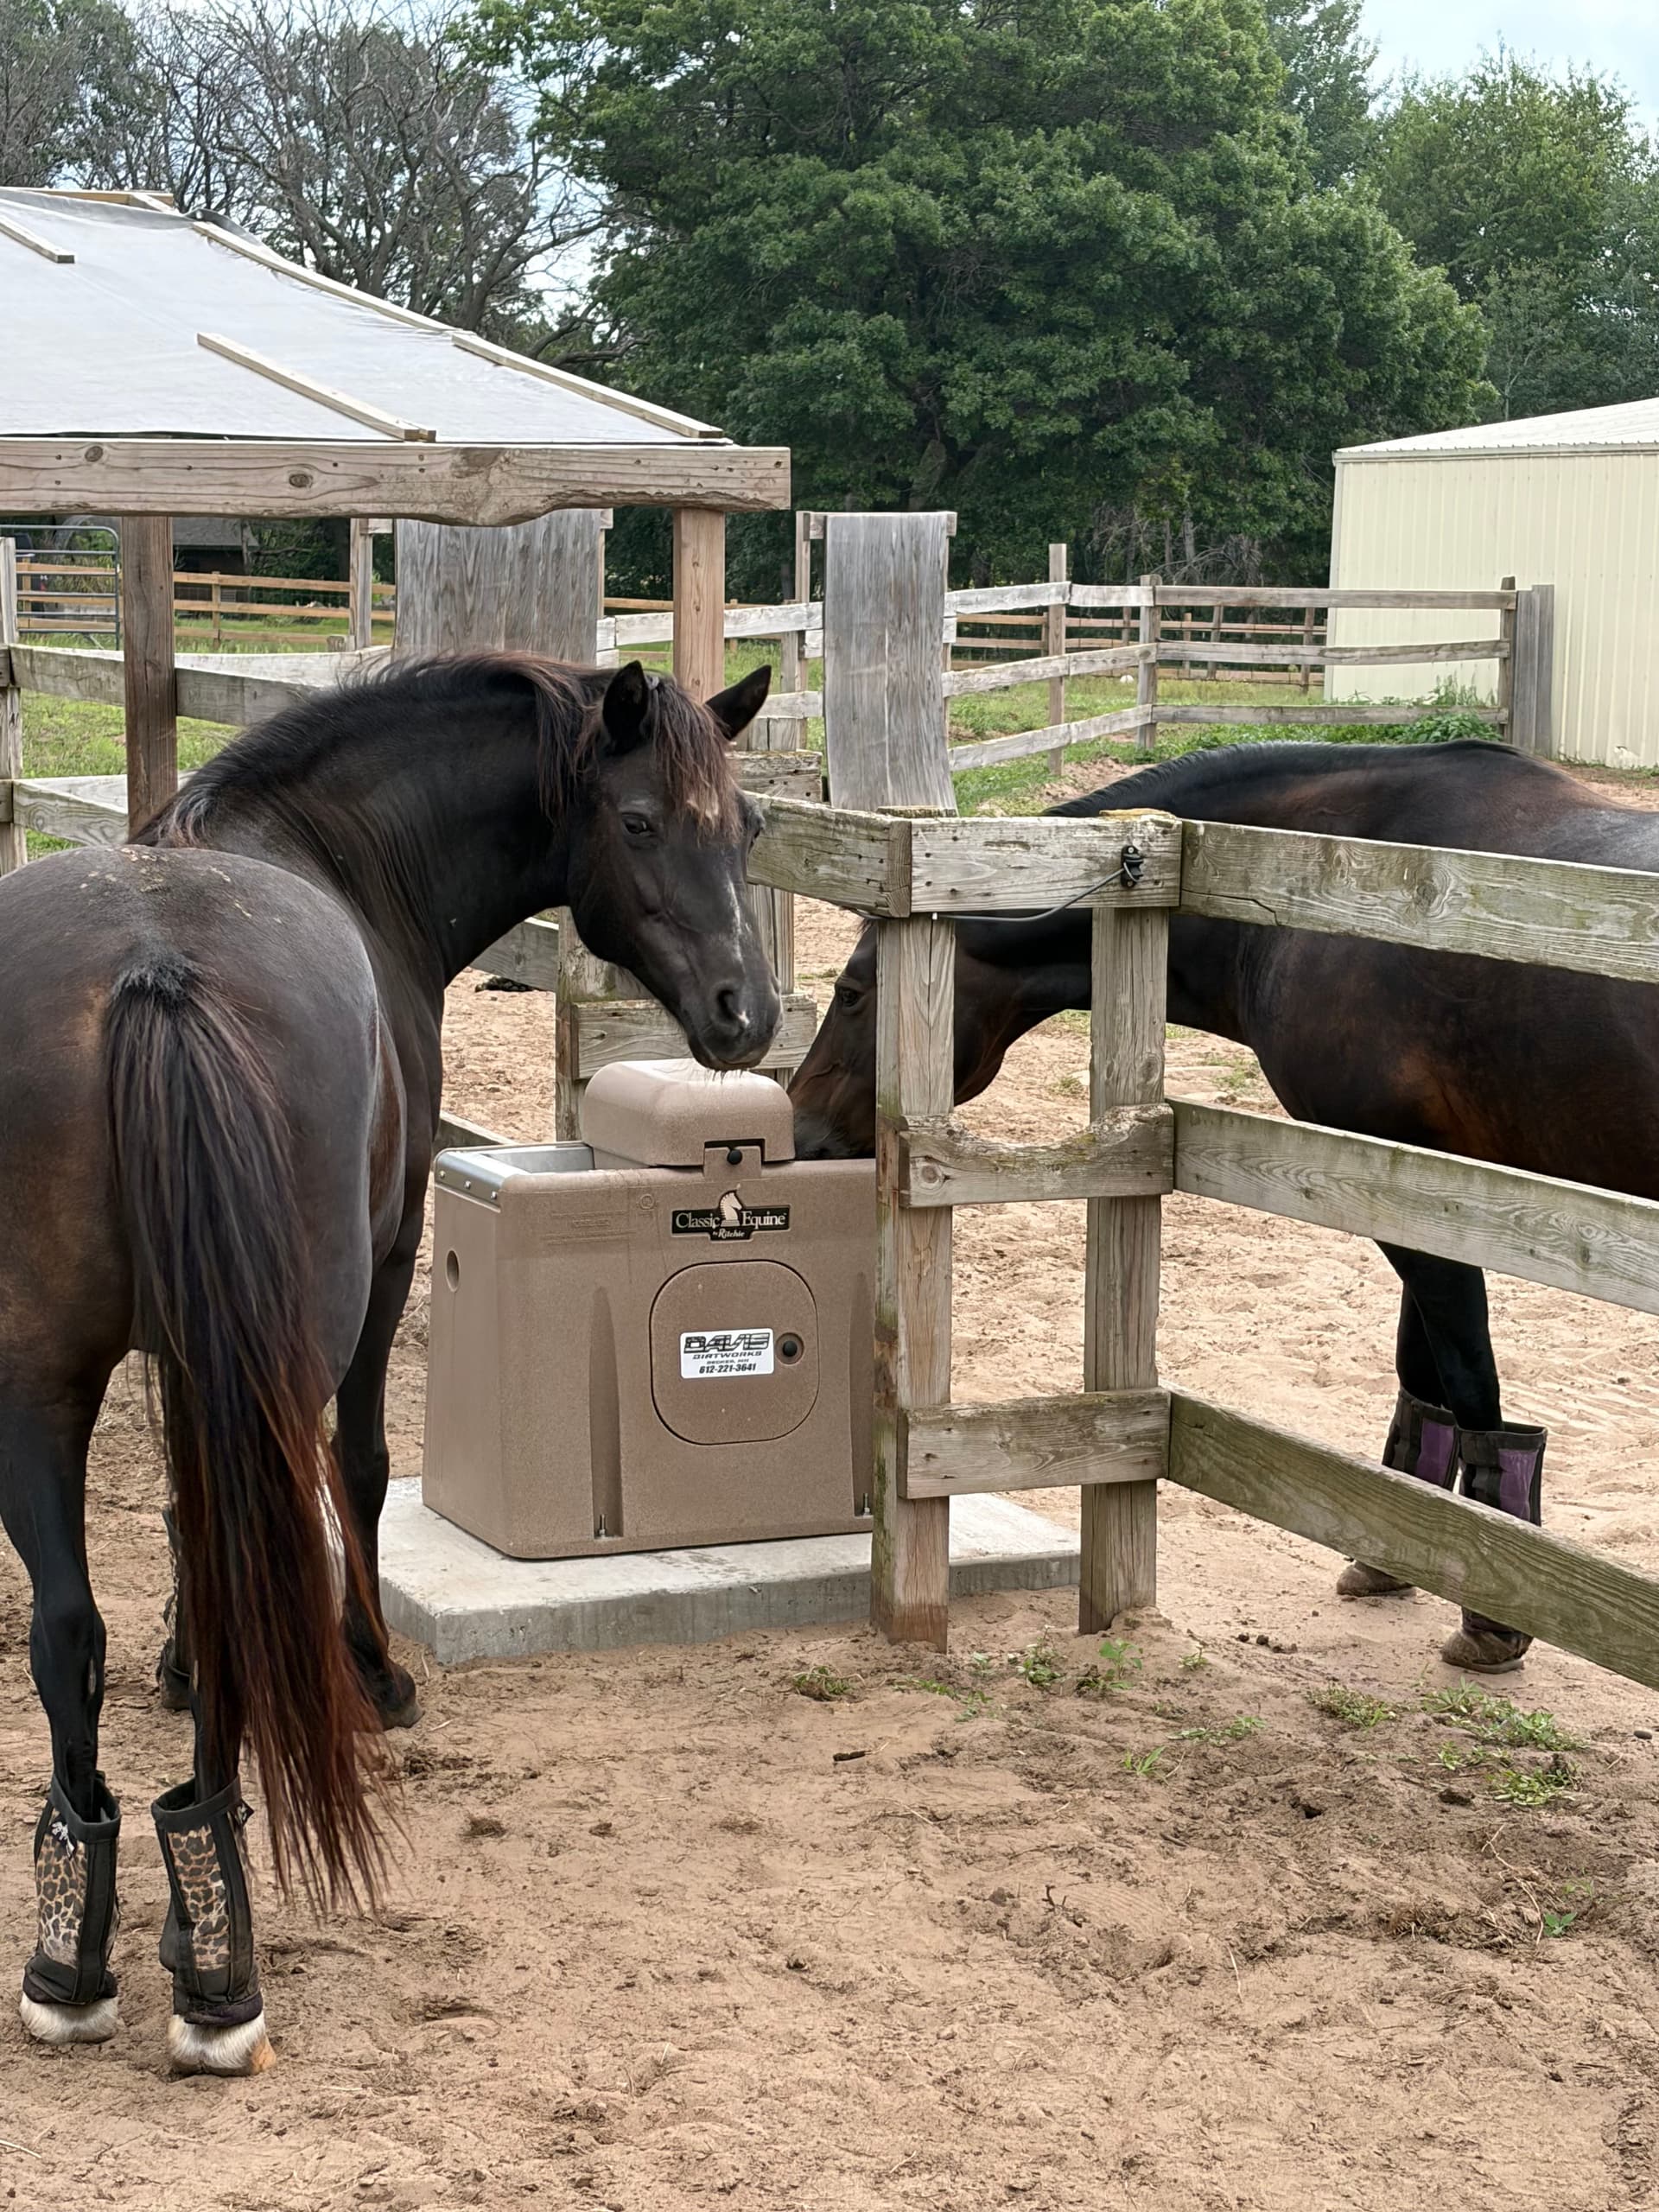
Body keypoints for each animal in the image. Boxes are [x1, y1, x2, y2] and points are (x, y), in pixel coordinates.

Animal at [0, 651, 779, 2074]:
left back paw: (70, 1962)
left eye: (744, 828)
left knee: (65, 1626)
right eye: (643, 822)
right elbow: (355, 1471)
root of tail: (155, 968)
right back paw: (220, 1972)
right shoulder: (391, 1259)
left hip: (36, 1388)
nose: (745, 1016)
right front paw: (374, 1669)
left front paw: (175, 1665)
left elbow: (183, 1528)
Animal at [788, 737, 1659, 1675]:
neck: (1351, 874)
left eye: (852, 991)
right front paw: (1395, 1554)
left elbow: (1466, 1375)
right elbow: (1422, 1371)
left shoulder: (1428, 1188)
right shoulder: (1412, 1181)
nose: (798, 1126)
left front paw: (1493, 1608)